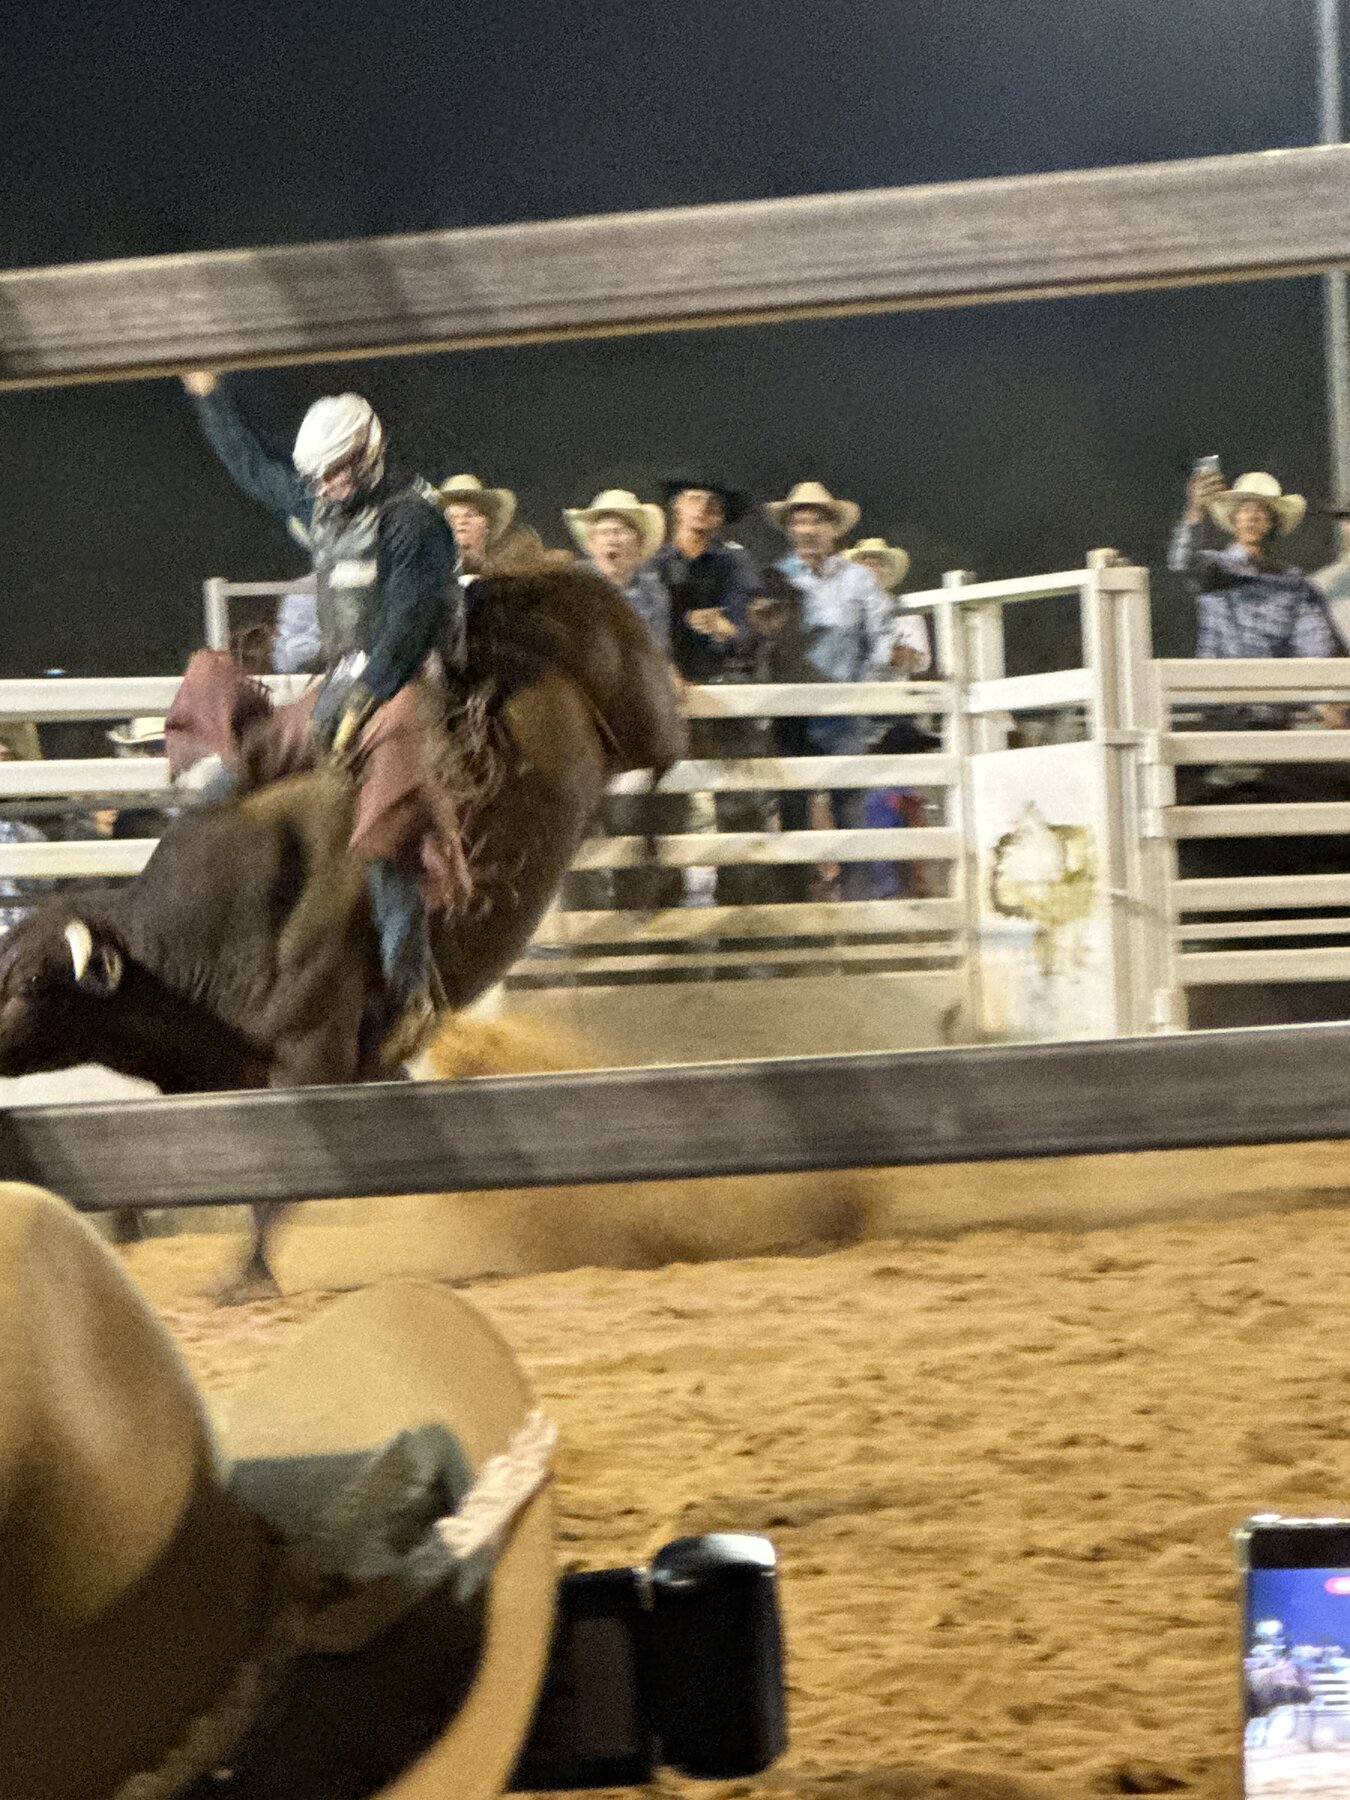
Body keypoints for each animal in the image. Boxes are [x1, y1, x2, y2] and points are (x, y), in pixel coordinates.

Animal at [0, 569, 686, 1296]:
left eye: (31, 983)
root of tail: (535, 575)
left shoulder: (314, 1062)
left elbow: (281, 1191)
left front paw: (247, 1277)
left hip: (642, 711)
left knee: (667, 756)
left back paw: (647, 857)